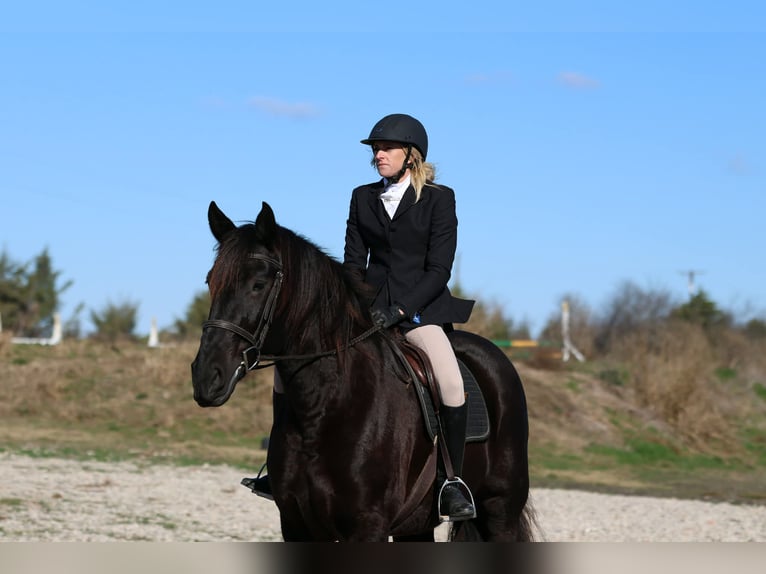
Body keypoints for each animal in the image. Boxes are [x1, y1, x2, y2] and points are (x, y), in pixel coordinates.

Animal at [191, 201, 534, 542]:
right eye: (210, 282)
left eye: (258, 285)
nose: (206, 377)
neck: (322, 406)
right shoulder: (295, 524)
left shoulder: (368, 524)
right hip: (418, 523)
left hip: (500, 510)